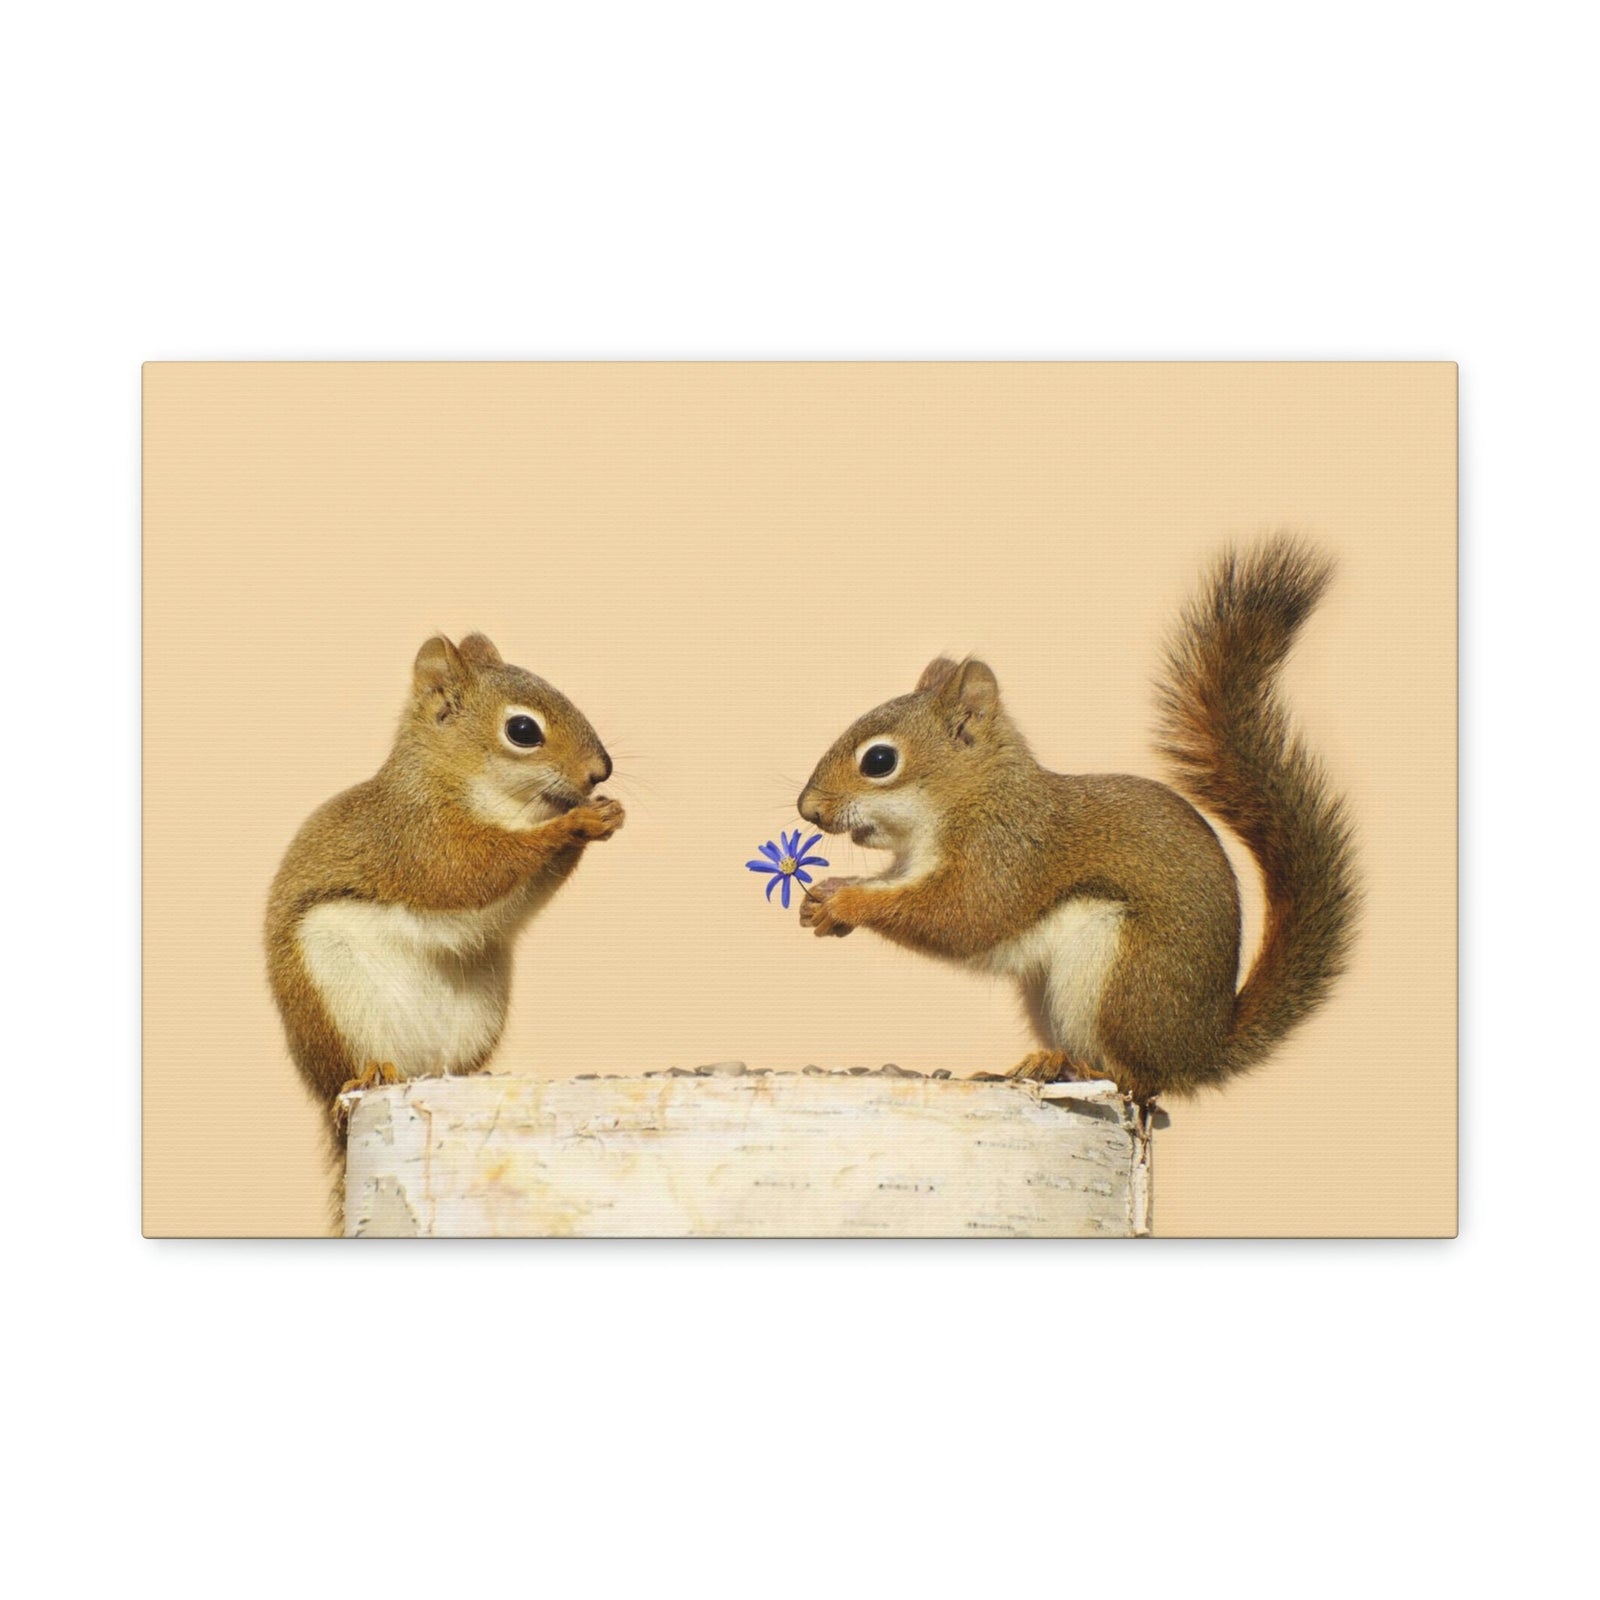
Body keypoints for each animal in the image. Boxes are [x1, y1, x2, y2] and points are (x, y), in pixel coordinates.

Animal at [265, 632, 623, 1137]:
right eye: (523, 730)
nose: (600, 771)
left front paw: (606, 813)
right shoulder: (416, 837)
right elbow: (470, 872)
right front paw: (574, 823)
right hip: (335, 1002)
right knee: (350, 1071)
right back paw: (370, 1073)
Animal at [795, 536, 1359, 1100]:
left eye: (879, 761)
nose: (808, 810)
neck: (970, 798)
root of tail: (1199, 1050)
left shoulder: (1007, 854)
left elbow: (961, 916)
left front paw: (846, 902)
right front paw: (822, 901)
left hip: (1119, 979)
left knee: (1136, 1079)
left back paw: (1077, 1069)